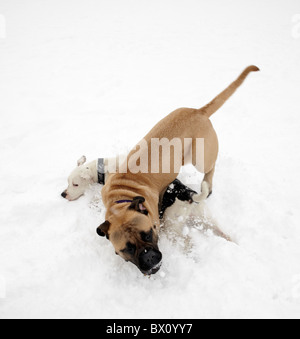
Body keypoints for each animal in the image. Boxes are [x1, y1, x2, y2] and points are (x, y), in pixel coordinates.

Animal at [97, 66, 258, 276]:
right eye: (127, 248)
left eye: (148, 234)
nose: (149, 258)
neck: (122, 199)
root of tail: (199, 111)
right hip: (204, 217)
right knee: (221, 233)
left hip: (199, 159)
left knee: (210, 168)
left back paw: (208, 184)